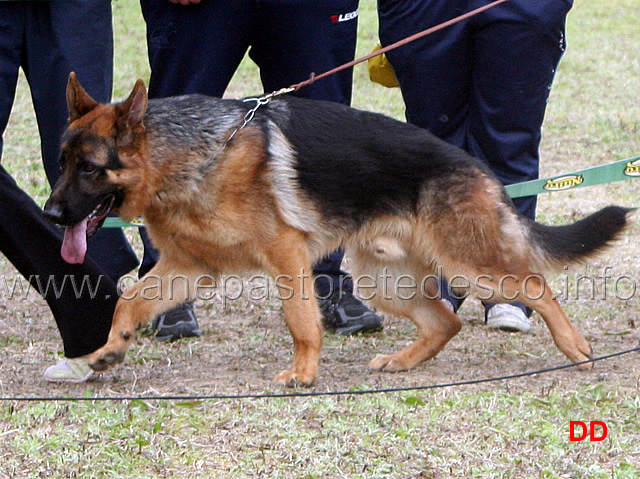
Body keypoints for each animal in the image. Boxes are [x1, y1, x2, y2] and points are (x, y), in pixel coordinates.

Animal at [43, 75, 632, 388]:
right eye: (61, 163)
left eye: (90, 169)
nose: (50, 215)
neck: (194, 157)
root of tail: (480, 170)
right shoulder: (188, 267)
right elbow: (129, 302)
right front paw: (108, 351)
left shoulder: (287, 257)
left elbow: (301, 320)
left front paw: (303, 373)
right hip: (381, 278)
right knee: (444, 320)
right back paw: (402, 361)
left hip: (470, 265)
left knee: (536, 286)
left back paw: (576, 347)